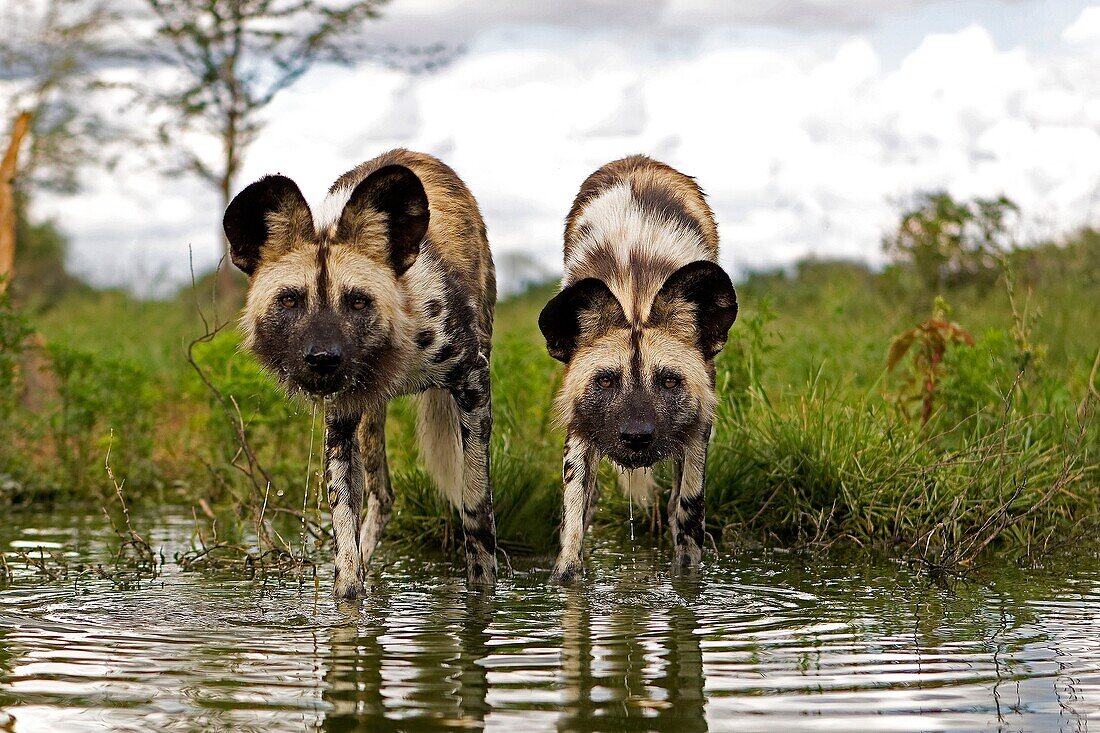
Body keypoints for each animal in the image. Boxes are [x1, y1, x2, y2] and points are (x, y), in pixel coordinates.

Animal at [223, 149, 499, 598]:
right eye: (289, 301)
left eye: (357, 301)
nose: (322, 358)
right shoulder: (341, 416)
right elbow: (344, 533)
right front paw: (350, 597)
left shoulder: (472, 382)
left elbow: (475, 506)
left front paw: (482, 596)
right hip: (368, 418)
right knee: (382, 497)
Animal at [534, 154, 734, 576]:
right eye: (606, 381)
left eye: (670, 382)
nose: (636, 436)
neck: (636, 290)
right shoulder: (580, 427)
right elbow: (572, 533)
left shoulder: (698, 428)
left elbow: (687, 521)